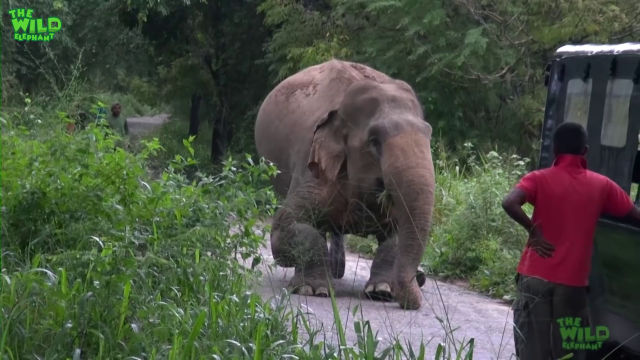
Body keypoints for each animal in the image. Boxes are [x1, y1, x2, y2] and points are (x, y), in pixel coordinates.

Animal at [255, 59, 436, 310]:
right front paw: (313, 289)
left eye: (429, 134)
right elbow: (285, 229)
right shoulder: (312, 167)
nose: (410, 303)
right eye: (374, 141)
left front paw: (382, 291)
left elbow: (397, 232)